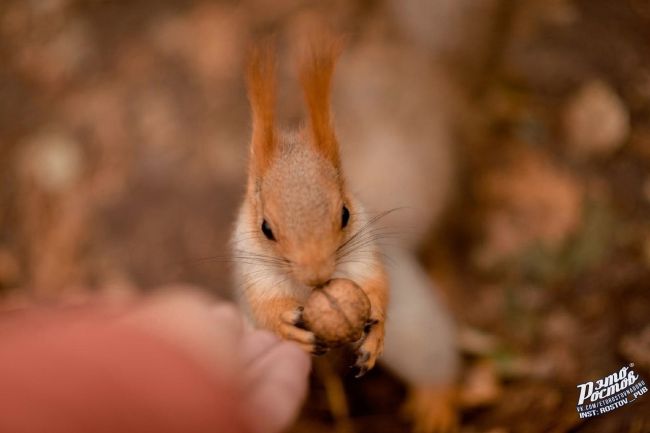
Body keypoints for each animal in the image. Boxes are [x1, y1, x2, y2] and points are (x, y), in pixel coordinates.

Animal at [232, 38, 456, 430]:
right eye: (266, 228)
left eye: (345, 214)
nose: (318, 275)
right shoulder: (253, 272)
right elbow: (264, 309)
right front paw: (284, 325)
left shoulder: (365, 252)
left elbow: (377, 284)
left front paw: (376, 328)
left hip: (415, 324)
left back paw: (436, 400)